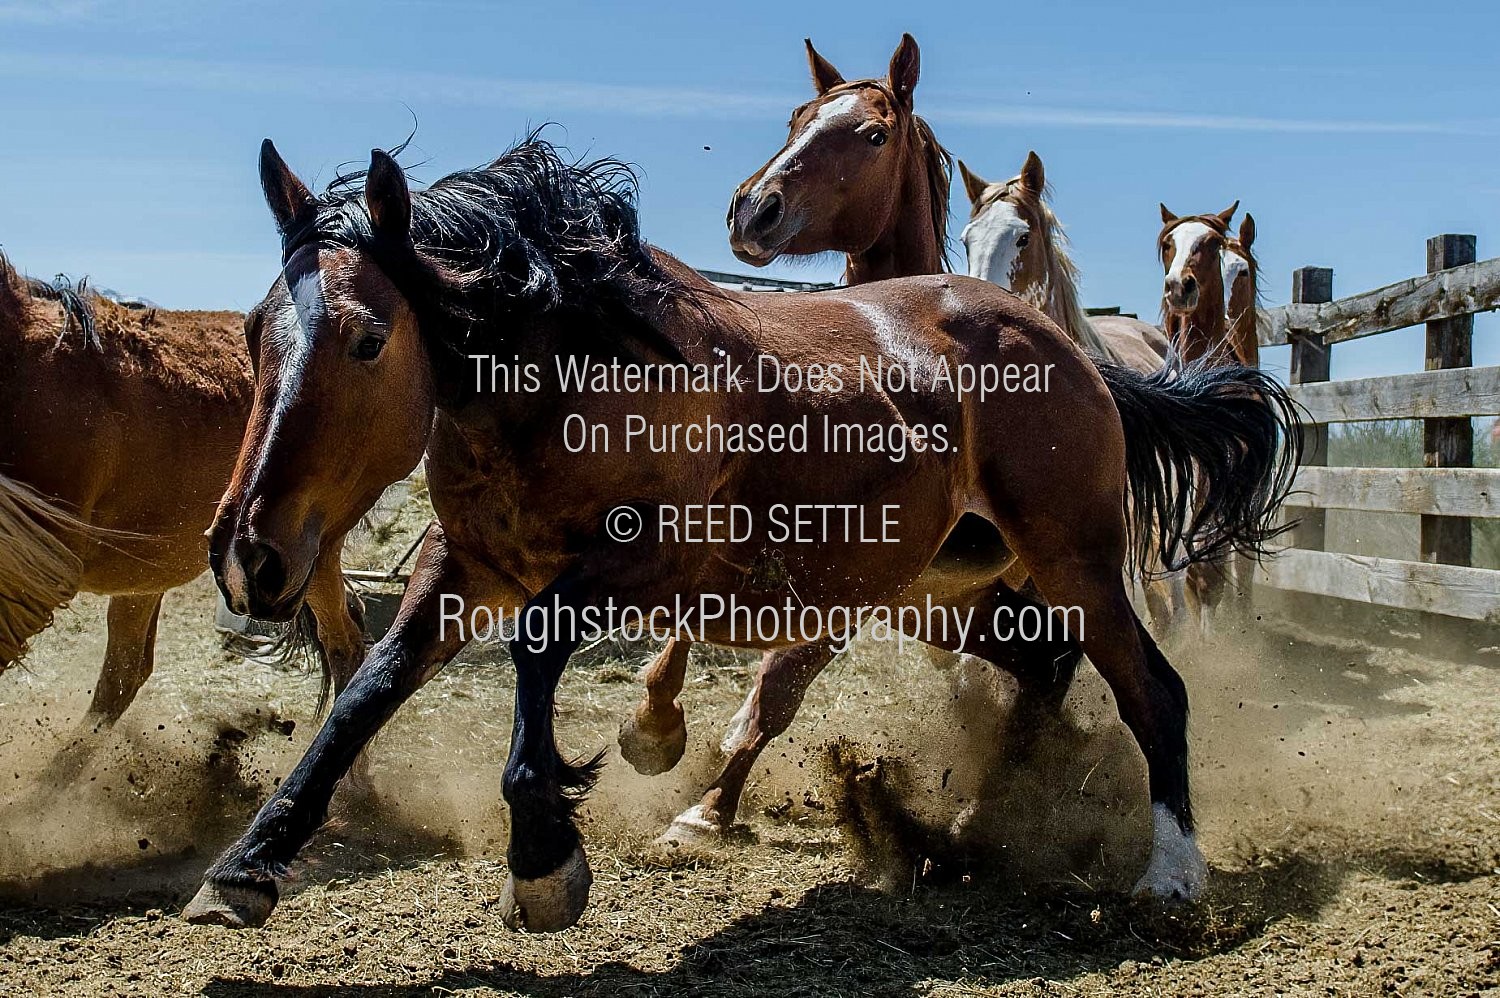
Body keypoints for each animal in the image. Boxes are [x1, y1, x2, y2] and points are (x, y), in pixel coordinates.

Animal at [182, 136, 1299, 932]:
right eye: (254, 331)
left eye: (369, 339)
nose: (246, 555)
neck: (577, 365)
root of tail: (1073, 349)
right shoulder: (469, 565)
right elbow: (366, 690)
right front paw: (246, 864)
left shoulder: (646, 563)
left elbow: (537, 649)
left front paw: (543, 858)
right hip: (951, 590)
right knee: (1046, 668)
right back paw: (993, 810)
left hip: (1077, 561)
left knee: (1154, 690)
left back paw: (1172, 873)